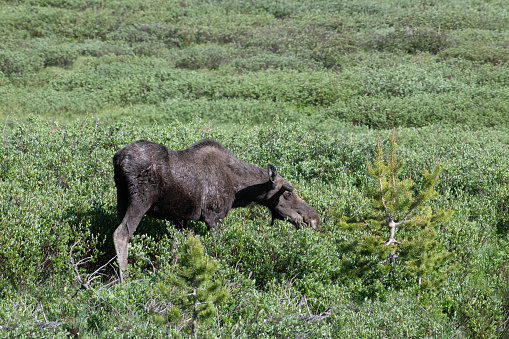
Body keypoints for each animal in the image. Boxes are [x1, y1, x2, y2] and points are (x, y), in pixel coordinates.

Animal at [113, 139, 320, 282]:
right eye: (288, 193)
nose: (313, 218)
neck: (238, 190)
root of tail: (117, 159)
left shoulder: (181, 219)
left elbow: (176, 251)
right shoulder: (213, 216)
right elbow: (217, 252)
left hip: (121, 199)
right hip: (140, 200)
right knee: (121, 233)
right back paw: (125, 281)